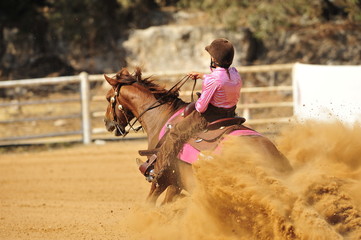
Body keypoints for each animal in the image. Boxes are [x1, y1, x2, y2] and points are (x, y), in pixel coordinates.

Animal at [102, 67, 292, 204]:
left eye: (108, 97)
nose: (107, 123)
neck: (160, 116)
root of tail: (273, 157)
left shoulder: (162, 179)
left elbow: (151, 201)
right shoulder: (176, 183)